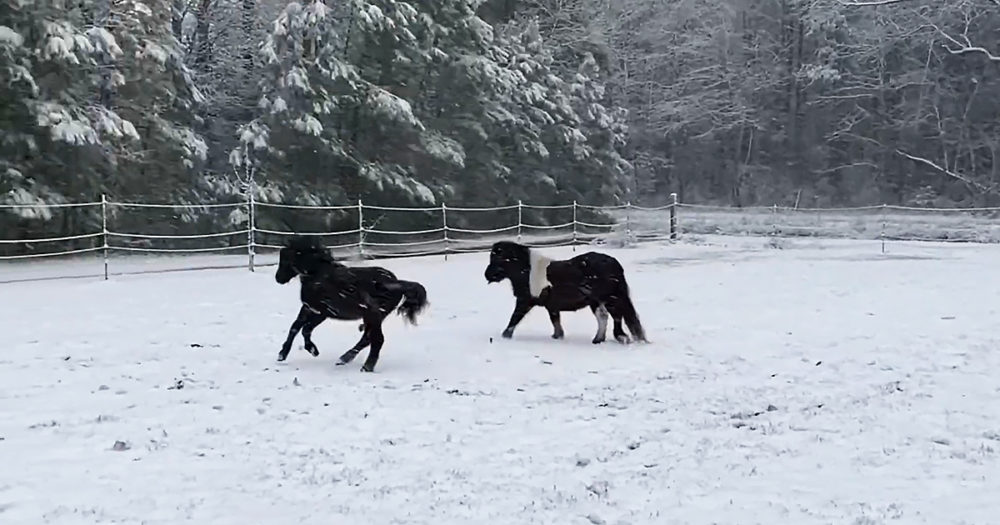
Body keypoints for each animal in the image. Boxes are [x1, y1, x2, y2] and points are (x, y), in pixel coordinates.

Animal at [274, 235, 428, 372]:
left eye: (286, 258)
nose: (278, 278)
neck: (319, 276)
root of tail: (397, 283)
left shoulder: (323, 312)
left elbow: (305, 328)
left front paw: (312, 350)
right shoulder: (309, 308)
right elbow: (295, 327)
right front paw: (282, 354)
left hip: (373, 315)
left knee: (377, 339)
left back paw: (365, 367)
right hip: (373, 316)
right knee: (367, 338)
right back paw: (344, 359)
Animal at [484, 240, 644, 344]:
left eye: (498, 257)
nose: (487, 275)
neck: (527, 272)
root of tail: (613, 263)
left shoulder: (525, 301)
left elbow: (515, 317)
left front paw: (505, 335)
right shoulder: (551, 306)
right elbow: (555, 320)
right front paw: (557, 336)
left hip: (606, 299)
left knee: (612, 316)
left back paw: (613, 338)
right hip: (600, 300)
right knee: (608, 316)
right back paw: (602, 339)